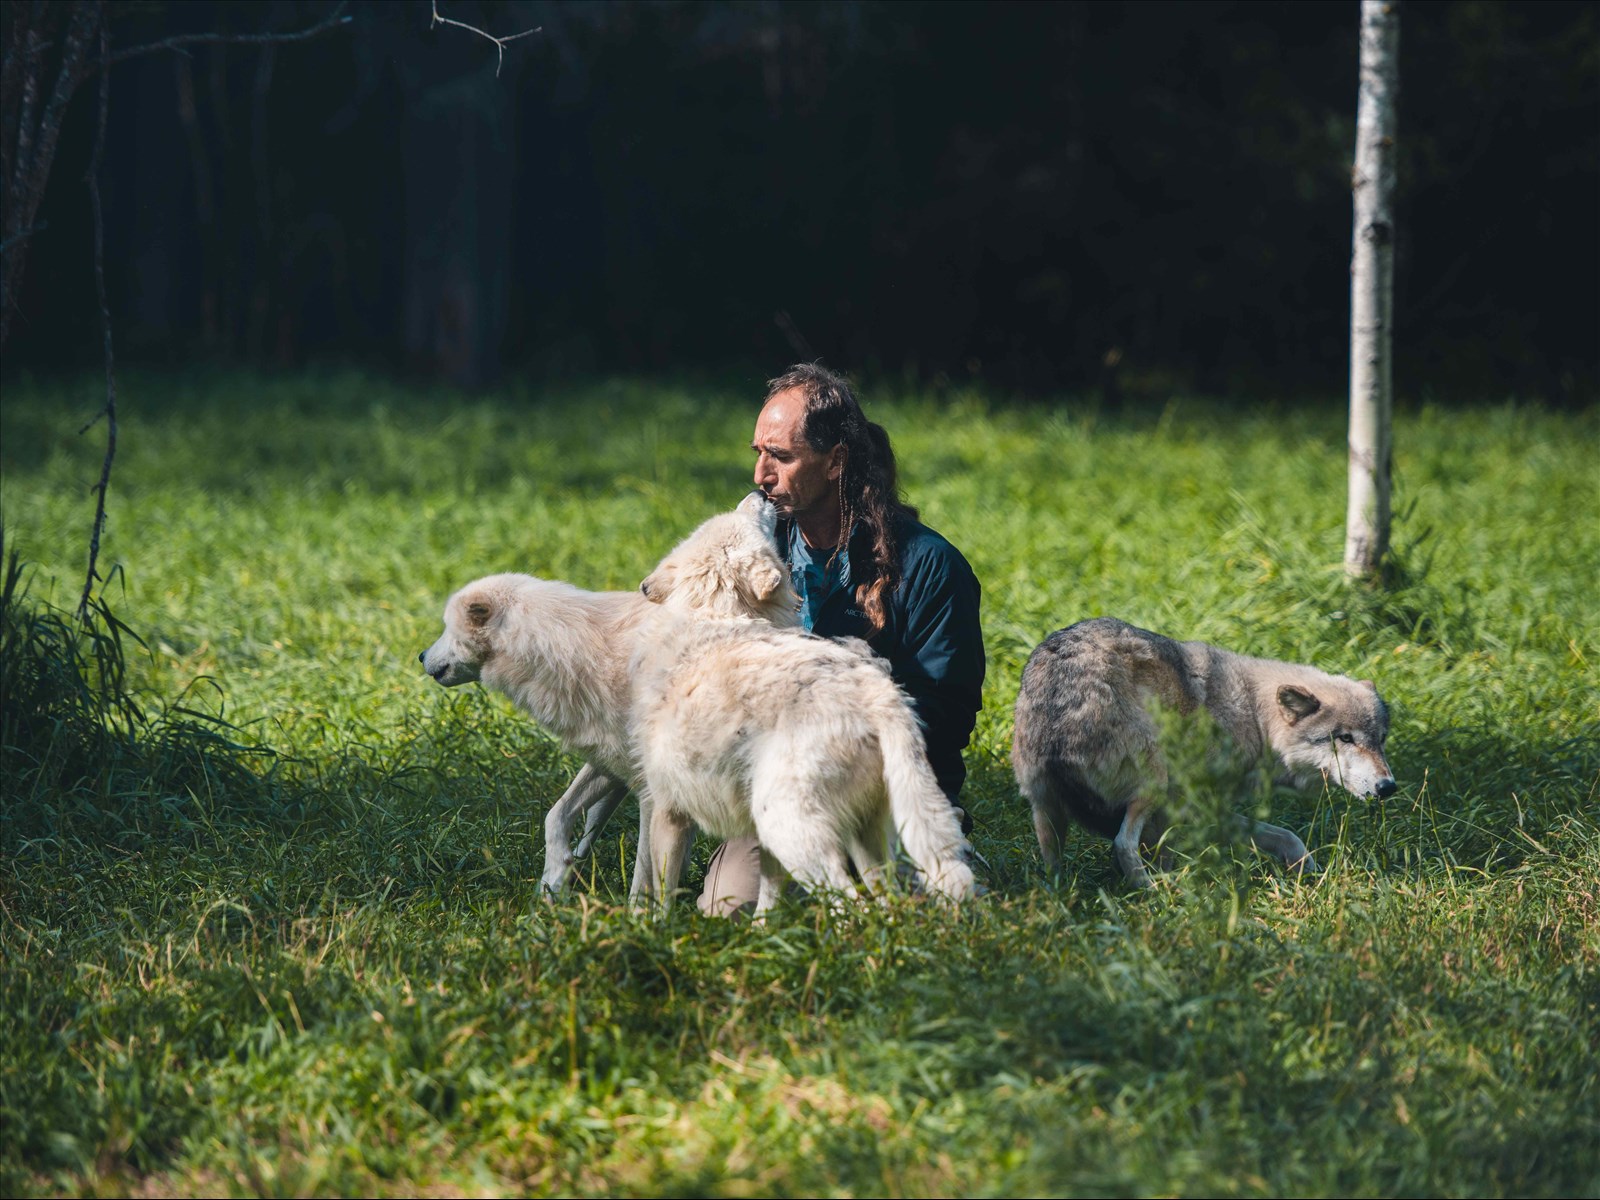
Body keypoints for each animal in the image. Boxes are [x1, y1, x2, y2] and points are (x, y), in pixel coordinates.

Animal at [1011, 616, 1397, 887]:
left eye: (1380, 739)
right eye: (1344, 738)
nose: (1388, 786)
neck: (1254, 716)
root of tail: (1061, 691)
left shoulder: (1212, 808)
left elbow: (1289, 837)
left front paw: (1312, 877)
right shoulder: (1180, 809)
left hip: (1046, 812)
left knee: (1054, 870)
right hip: (1153, 784)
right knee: (1122, 843)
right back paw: (1155, 894)